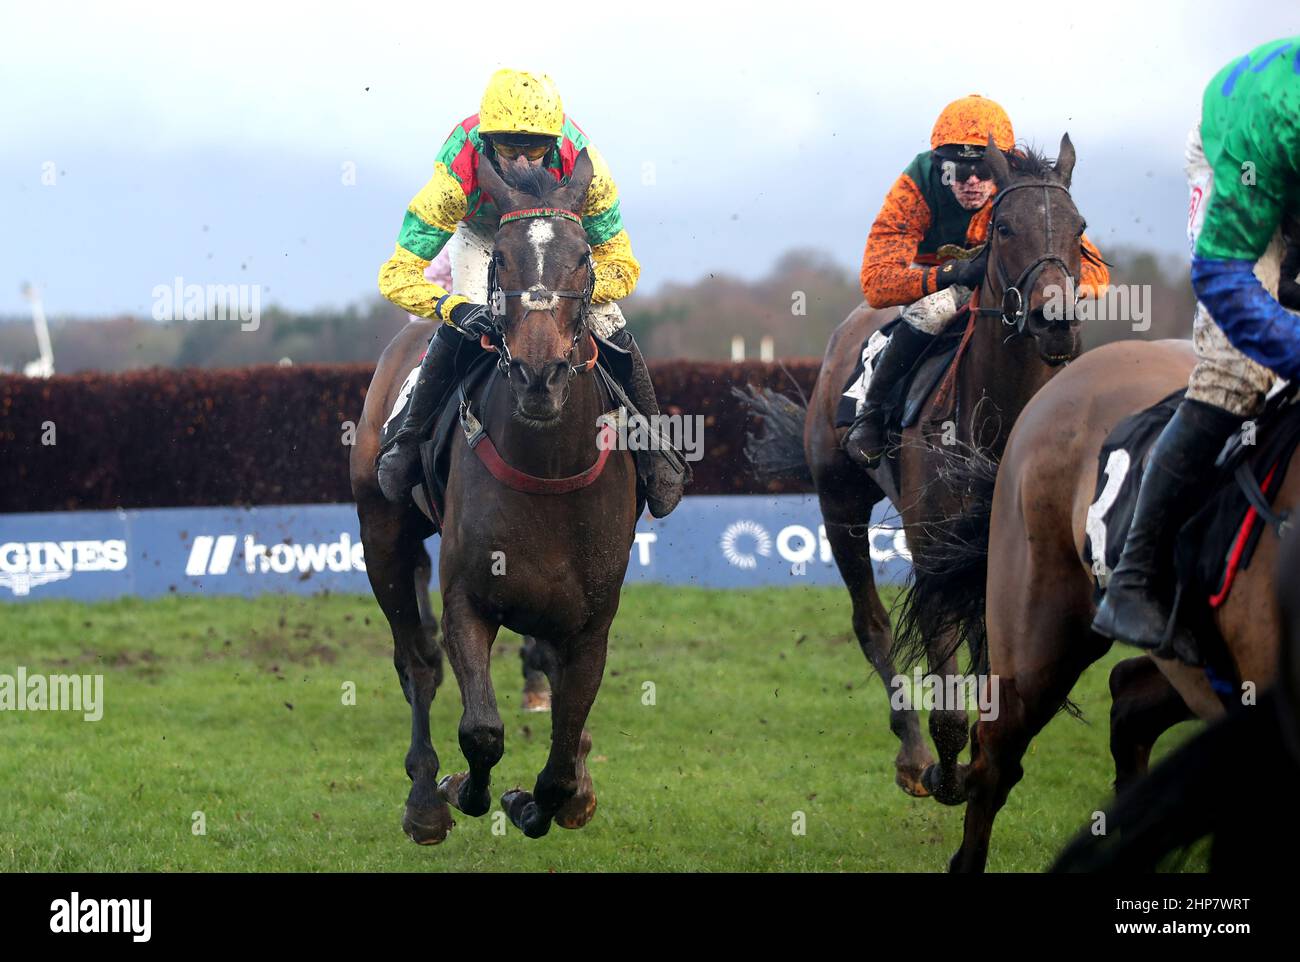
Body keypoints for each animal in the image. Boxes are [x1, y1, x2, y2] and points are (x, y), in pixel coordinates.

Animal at [351, 148, 639, 842]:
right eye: (503, 258)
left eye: (582, 257)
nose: (540, 375)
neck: (548, 467)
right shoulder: (466, 597)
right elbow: (481, 729)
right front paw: (469, 790)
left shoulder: (593, 620)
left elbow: (560, 756)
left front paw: (546, 797)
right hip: (382, 535)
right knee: (417, 663)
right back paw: (425, 800)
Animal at [790, 133, 1097, 795]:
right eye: (1004, 228)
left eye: (1079, 227)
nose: (1055, 322)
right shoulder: (934, 551)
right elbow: (950, 702)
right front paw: (945, 771)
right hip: (839, 502)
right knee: (872, 625)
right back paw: (911, 756)